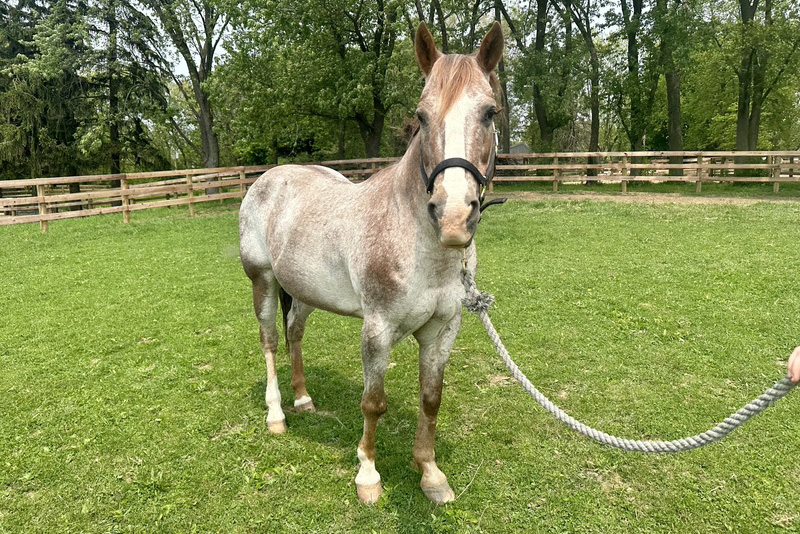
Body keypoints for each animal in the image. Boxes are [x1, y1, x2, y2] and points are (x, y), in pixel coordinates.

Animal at [238, 22, 504, 506]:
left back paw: (303, 400)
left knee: (294, 333)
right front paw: (367, 474)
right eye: (421, 116)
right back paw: (277, 415)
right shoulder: (377, 329)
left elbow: (431, 398)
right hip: (262, 282)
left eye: (489, 113)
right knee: (270, 341)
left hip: (304, 291)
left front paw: (430, 474)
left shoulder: (442, 329)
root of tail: (270, 178)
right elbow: (373, 402)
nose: (453, 216)